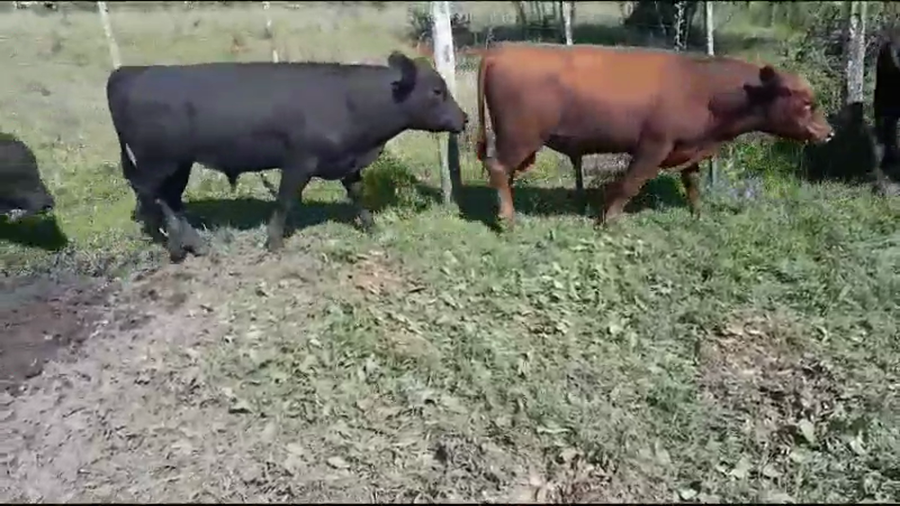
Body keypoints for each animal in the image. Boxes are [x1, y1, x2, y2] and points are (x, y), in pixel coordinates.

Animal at [106, 51, 468, 262]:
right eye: (437, 91)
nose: (463, 118)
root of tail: (129, 71)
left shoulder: (347, 163)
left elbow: (357, 194)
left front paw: (372, 227)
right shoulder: (298, 161)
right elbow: (284, 201)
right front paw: (274, 242)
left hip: (179, 163)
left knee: (167, 199)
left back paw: (185, 242)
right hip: (159, 162)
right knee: (153, 197)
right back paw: (178, 246)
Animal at [474, 43, 835, 228]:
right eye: (806, 103)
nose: (829, 133)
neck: (703, 87)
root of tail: (501, 50)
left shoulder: (689, 147)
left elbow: (692, 183)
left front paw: (699, 215)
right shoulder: (653, 146)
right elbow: (629, 184)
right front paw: (609, 222)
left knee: (504, 173)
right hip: (520, 137)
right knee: (498, 168)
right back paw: (507, 219)